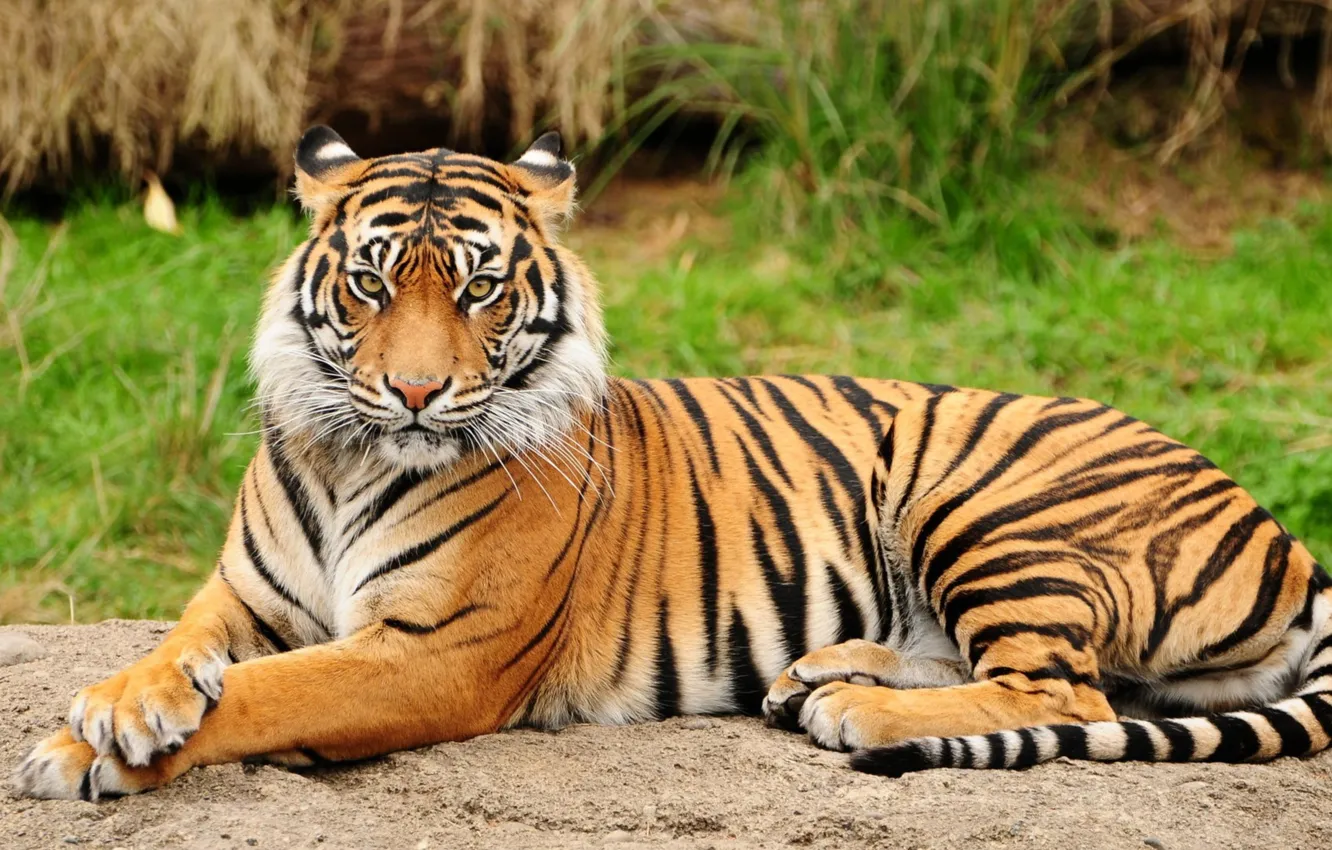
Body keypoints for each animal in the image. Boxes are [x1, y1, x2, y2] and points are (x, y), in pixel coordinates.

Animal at [13, 126, 1332, 801]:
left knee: (1065, 690)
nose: (417, 392)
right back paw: (820, 672)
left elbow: (277, 692)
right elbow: (178, 650)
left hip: (986, 499)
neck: (350, 457)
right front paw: (118, 705)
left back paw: (854, 706)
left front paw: (87, 750)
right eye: (376, 283)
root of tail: (1281, 529)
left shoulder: (436, 652)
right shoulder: (240, 595)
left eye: (479, 289)